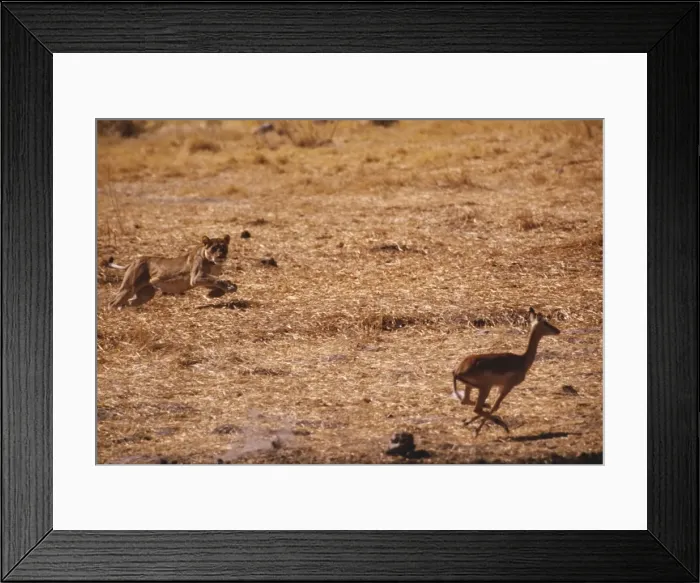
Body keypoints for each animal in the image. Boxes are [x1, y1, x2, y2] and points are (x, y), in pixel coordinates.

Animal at [106, 235, 237, 309]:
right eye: (214, 248)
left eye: (224, 248)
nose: (221, 256)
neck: (213, 263)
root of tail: (135, 260)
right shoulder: (196, 278)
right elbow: (219, 280)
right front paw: (229, 287)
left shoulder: (203, 280)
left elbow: (216, 282)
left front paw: (213, 294)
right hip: (129, 287)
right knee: (113, 303)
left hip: (146, 293)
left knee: (128, 302)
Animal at [452, 307, 561, 435]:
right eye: (545, 322)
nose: (558, 331)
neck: (522, 360)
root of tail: (457, 371)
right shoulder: (508, 386)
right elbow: (496, 406)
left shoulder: (500, 387)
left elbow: (495, 406)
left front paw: (468, 423)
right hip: (485, 388)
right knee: (477, 408)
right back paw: (495, 425)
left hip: (471, 387)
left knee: (467, 402)